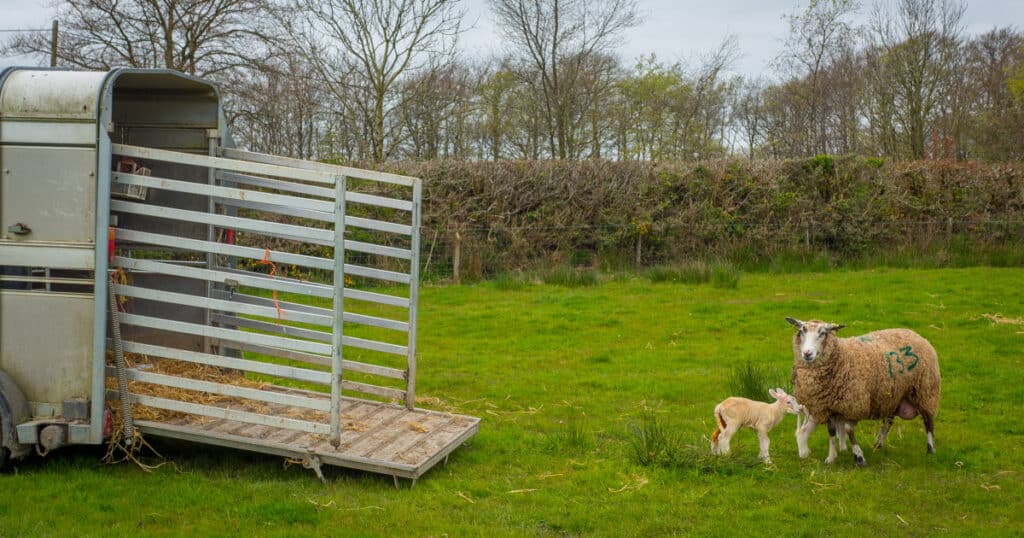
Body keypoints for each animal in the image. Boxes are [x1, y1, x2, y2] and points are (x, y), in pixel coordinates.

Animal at [782, 319, 942, 465]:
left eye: (822, 333)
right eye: (802, 331)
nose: (807, 353)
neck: (841, 357)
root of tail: (914, 333)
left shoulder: (854, 405)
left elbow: (848, 429)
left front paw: (858, 457)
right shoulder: (828, 407)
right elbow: (832, 431)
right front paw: (831, 457)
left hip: (925, 391)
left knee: (928, 421)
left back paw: (931, 449)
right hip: (893, 394)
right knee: (888, 421)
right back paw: (878, 444)